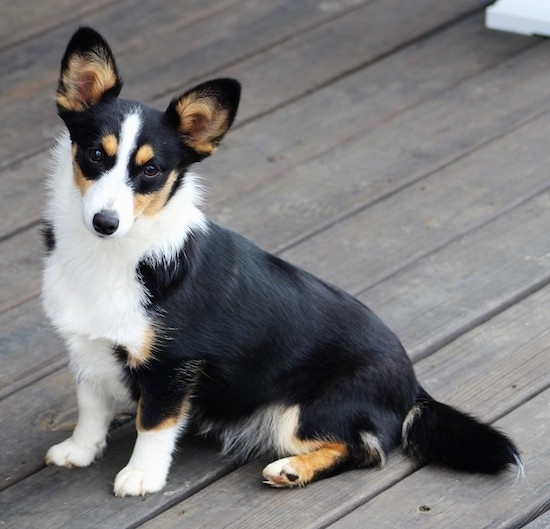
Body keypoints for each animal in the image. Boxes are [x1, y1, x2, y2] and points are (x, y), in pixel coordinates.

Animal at [43, 26, 520, 498]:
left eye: (151, 171)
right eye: (95, 155)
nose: (105, 222)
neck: (114, 254)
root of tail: (413, 386)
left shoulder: (173, 366)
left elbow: (154, 424)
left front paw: (141, 476)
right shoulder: (88, 350)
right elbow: (91, 407)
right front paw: (78, 452)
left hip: (302, 412)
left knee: (368, 450)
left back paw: (290, 469)